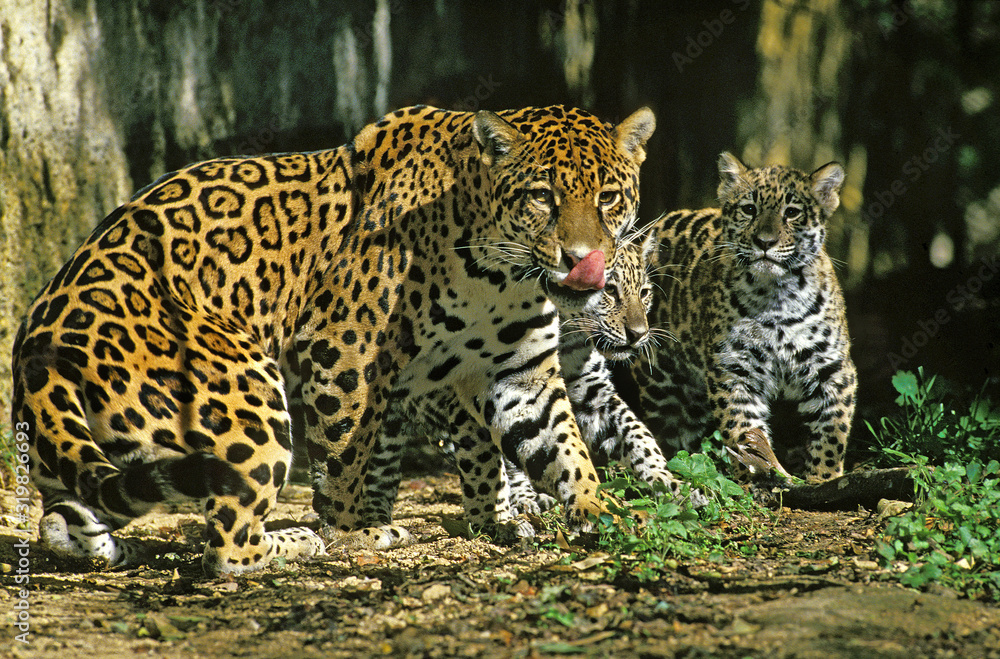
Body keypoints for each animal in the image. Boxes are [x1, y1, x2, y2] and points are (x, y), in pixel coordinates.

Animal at [11, 104, 655, 575]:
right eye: (541, 196)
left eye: (608, 198)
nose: (580, 259)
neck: (499, 274)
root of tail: (39, 344)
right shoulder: (347, 345)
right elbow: (348, 452)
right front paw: (354, 532)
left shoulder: (522, 372)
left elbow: (564, 446)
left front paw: (603, 509)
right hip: (249, 392)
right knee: (227, 548)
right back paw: (300, 541)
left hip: (100, 450)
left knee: (67, 517)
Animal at [357, 233, 696, 545]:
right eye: (609, 291)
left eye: (644, 293)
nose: (639, 334)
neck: (566, 331)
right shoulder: (469, 397)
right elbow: (486, 462)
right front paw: (498, 519)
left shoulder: (590, 392)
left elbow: (636, 434)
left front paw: (670, 481)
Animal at [630, 152, 857, 483]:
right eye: (749, 209)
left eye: (792, 213)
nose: (765, 241)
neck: (776, 298)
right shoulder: (734, 369)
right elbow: (740, 427)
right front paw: (754, 478)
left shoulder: (832, 369)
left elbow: (831, 433)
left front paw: (823, 479)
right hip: (662, 382)